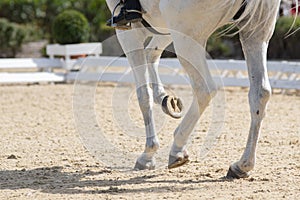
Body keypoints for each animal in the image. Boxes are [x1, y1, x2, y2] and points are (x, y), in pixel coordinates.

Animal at [105, 0, 282, 178]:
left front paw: (148, 155)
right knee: (260, 93)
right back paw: (241, 165)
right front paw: (165, 99)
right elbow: (152, 53)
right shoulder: (163, 25)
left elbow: (143, 95)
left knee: (205, 90)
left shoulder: (131, 32)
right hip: (256, 32)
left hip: (187, 36)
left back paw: (177, 148)